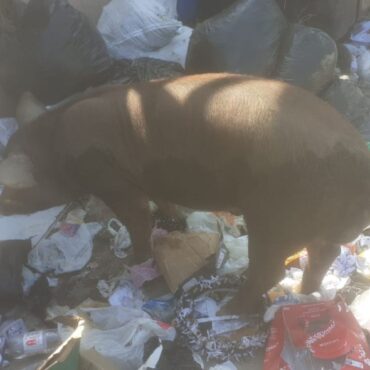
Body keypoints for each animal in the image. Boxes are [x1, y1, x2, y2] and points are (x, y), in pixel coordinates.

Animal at [0, 74, 370, 312]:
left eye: (9, 195)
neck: (54, 149)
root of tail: (359, 165)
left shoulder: (113, 182)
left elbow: (136, 221)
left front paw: (131, 263)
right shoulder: (151, 179)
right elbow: (163, 201)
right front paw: (174, 223)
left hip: (277, 215)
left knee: (271, 270)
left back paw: (227, 309)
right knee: (326, 253)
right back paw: (305, 292)